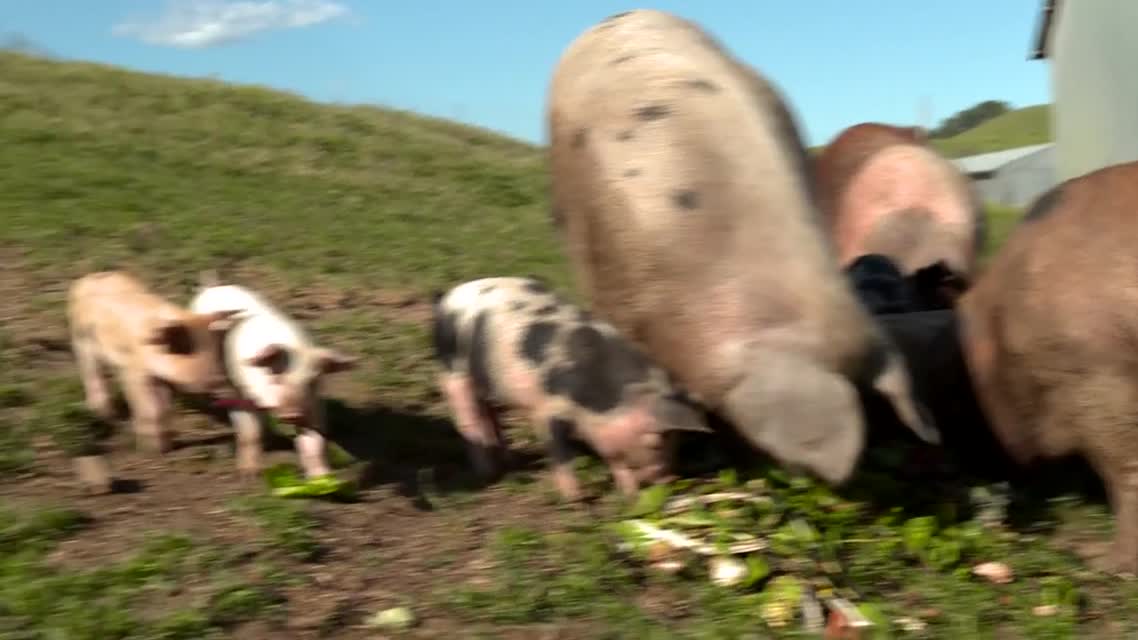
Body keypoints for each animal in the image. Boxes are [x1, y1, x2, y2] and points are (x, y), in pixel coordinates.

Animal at [67, 271, 241, 458]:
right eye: (187, 349)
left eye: (218, 350)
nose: (223, 380)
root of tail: (90, 277)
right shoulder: (134, 371)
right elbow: (150, 409)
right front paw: (151, 452)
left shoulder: (165, 380)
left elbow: (164, 409)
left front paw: (165, 448)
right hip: (80, 339)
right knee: (91, 374)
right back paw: (105, 416)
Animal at [189, 271, 358, 480]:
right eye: (276, 377)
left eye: (312, 381)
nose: (292, 413)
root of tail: (213, 286)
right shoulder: (241, 394)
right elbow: (248, 433)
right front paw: (248, 475)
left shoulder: (313, 406)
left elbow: (314, 443)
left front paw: (322, 478)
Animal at [431, 276, 713, 502]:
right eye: (655, 442)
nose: (669, 481)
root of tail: (448, 298)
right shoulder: (547, 409)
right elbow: (561, 454)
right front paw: (575, 500)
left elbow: (615, 459)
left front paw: (628, 495)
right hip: (452, 371)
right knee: (467, 419)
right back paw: (487, 474)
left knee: (489, 415)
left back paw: (508, 461)